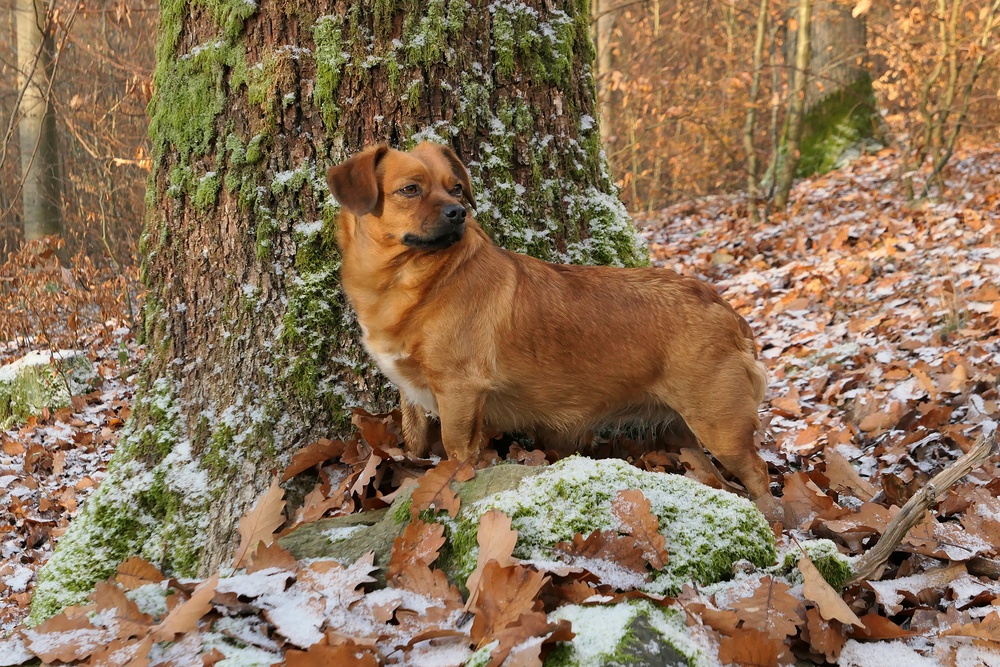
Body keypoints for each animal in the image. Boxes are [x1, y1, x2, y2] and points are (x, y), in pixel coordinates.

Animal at [326, 142, 772, 512]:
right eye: (410, 190)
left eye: (455, 189)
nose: (459, 212)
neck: (417, 281)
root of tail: (725, 308)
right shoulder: (412, 396)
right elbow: (414, 443)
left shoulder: (460, 394)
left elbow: (457, 453)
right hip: (684, 431)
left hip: (721, 426)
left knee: (758, 474)